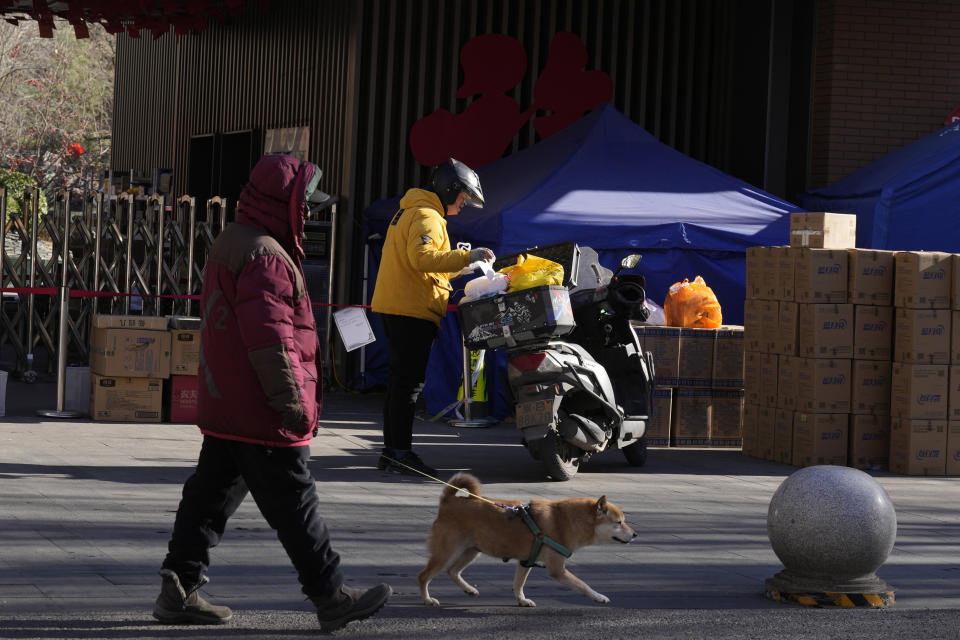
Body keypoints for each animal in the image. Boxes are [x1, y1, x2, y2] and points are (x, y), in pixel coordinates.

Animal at [416, 472, 632, 608]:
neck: (566, 520)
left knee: (452, 571)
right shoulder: (557, 569)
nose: (635, 535)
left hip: (471, 551)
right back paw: (427, 599)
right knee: (424, 576)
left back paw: (469, 589)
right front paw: (598, 596)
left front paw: (522, 600)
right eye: (619, 522)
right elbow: (583, 585)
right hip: (447, 552)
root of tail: (448, 501)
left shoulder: (525, 561)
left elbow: (518, 584)